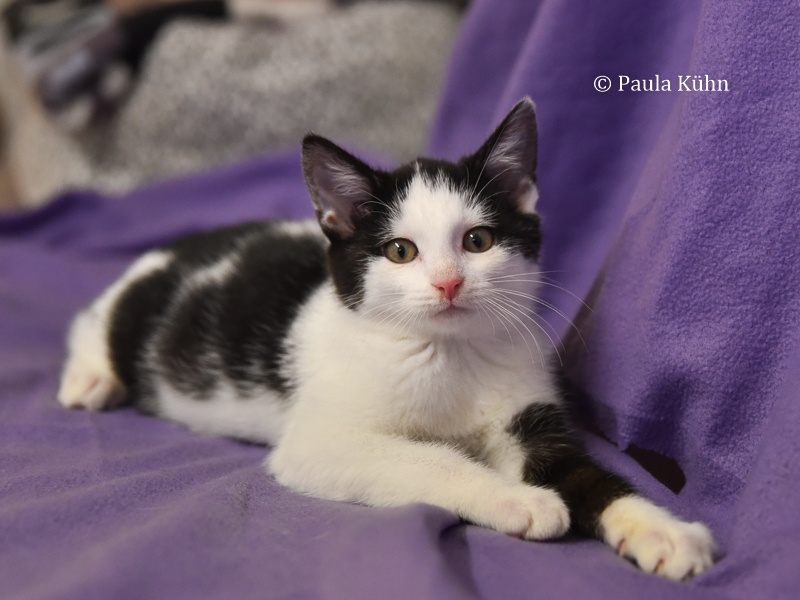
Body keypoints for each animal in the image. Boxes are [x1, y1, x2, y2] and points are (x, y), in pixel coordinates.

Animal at [58, 98, 716, 580]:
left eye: (478, 241)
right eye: (401, 251)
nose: (449, 282)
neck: (446, 353)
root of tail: (187, 242)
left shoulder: (526, 409)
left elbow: (585, 475)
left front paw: (662, 530)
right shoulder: (321, 441)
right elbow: (429, 457)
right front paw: (520, 501)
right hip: (138, 307)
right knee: (93, 315)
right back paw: (89, 376)